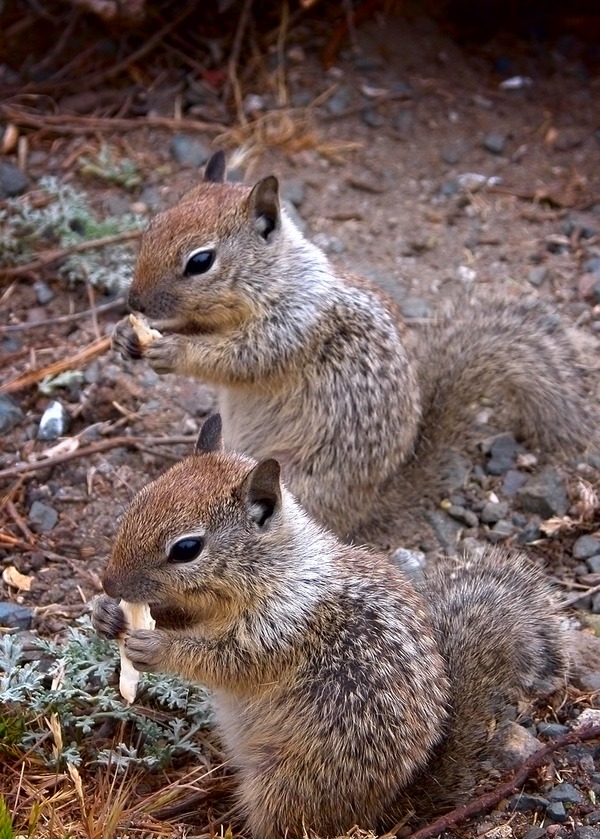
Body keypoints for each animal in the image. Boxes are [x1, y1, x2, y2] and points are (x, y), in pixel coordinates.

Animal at [92, 414, 568, 839]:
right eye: (138, 500)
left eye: (187, 548)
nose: (108, 582)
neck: (277, 571)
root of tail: (392, 804)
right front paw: (107, 615)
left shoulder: (281, 630)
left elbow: (225, 661)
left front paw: (156, 647)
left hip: (289, 782)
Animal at [111, 150, 596, 548]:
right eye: (151, 227)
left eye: (200, 261)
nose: (134, 302)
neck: (275, 279)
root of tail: (370, 502)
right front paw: (124, 336)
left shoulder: (292, 327)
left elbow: (241, 358)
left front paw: (172, 352)